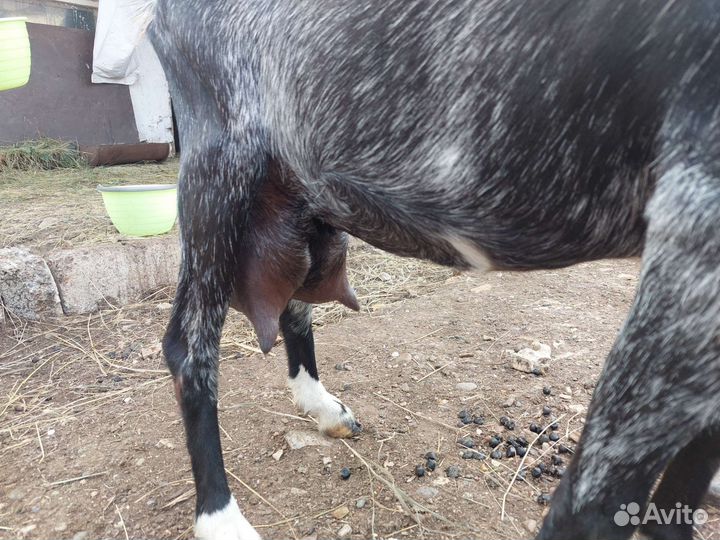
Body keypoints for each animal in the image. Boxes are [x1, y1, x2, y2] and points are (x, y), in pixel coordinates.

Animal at [145, 1, 720, 538]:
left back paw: (323, 409)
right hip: (218, 176)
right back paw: (220, 519)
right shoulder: (693, 237)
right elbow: (591, 501)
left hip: (300, 203)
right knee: (188, 348)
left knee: (293, 303)